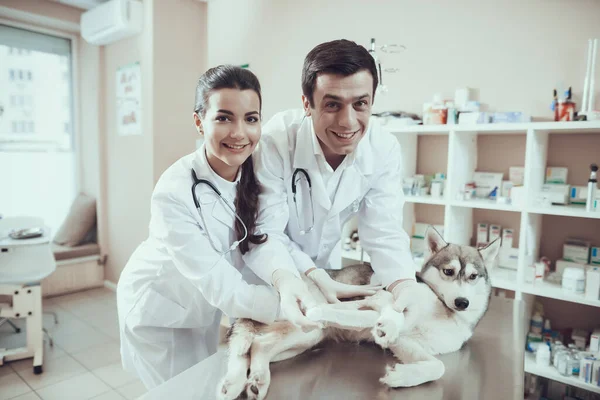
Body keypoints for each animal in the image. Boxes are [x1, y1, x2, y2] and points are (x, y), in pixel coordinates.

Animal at [218, 227, 500, 398]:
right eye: (448, 271)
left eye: (473, 276)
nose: (462, 302)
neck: (443, 311)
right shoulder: (378, 302)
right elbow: (378, 314)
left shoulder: (405, 344)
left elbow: (437, 366)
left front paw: (403, 376)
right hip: (304, 332)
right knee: (252, 344)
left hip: (304, 340)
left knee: (256, 347)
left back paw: (250, 381)